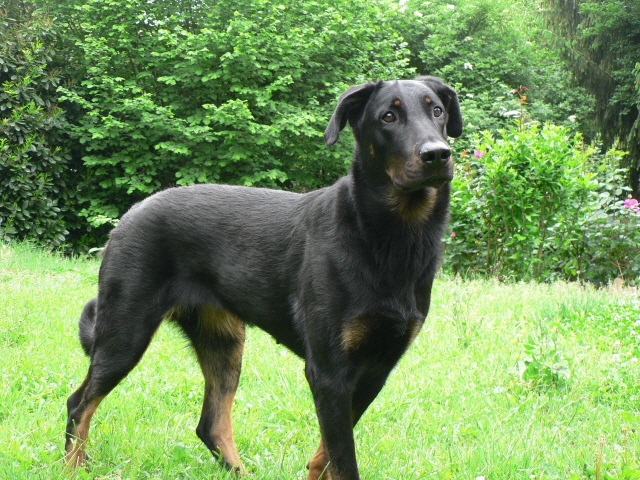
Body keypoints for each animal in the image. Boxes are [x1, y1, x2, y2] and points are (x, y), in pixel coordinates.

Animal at [64, 76, 462, 479]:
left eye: (437, 111)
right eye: (388, 116)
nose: (437, 154)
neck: (391, 237)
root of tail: (126, 218)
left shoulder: (375, 368)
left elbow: (327, 453)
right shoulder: (329, 370)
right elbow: (342, 458)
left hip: (223, 340)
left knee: (211, 423)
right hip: (126, 331)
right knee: (79, 404)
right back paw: (72, 465)